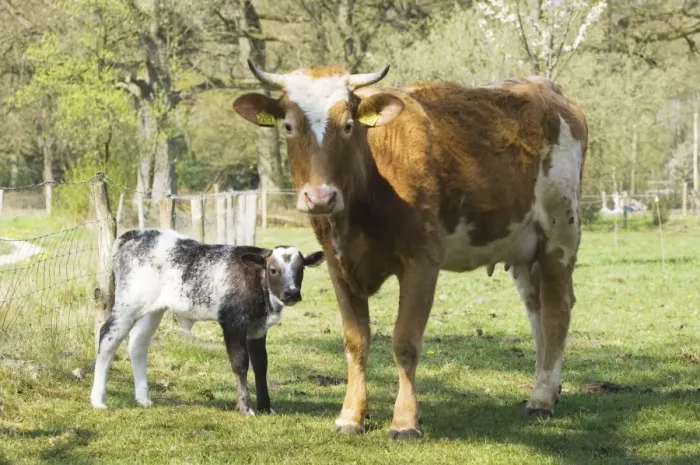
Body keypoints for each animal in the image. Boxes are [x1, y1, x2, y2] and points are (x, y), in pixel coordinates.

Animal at [232, 61, 588, 440]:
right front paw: (350, 416)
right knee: (536, 310)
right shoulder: (337, 266)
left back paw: (543, 399)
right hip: (523, 248)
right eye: (288, 125)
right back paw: (547, 388)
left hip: (560, 232)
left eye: (348, 125)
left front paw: (404, 421)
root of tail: (548, 90)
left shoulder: (422, 261)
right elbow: (355, 341)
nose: (320, 197)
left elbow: (405, 341)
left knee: (556, 311)